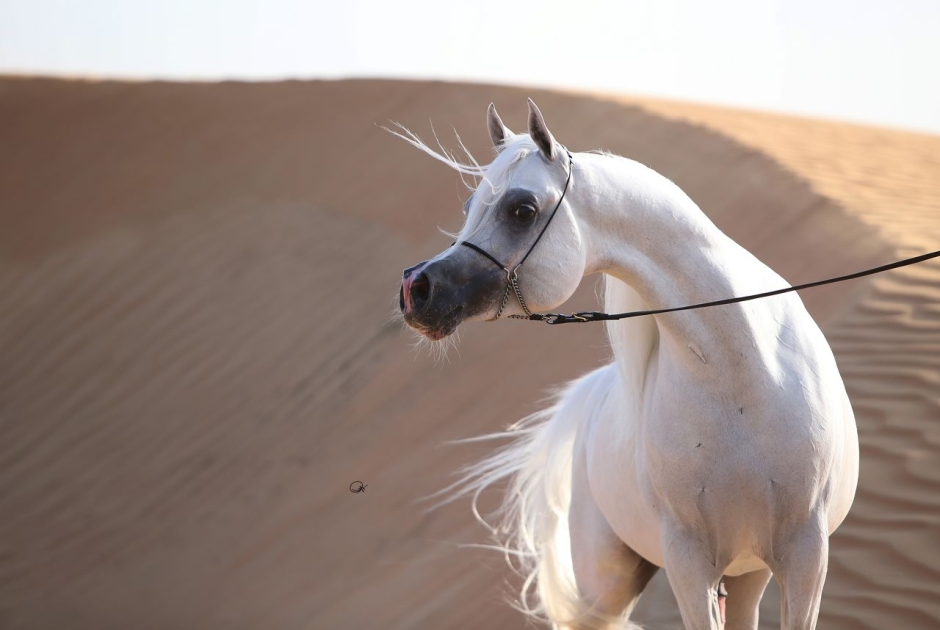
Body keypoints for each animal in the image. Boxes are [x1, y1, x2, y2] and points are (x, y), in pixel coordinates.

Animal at [394, 101, 860, 628]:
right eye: (470, 206)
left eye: (521, 209)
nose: (415, 289)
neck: (741, 379)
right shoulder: (687, 560)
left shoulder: (806, 554)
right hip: (609, 583)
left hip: (747, 573)